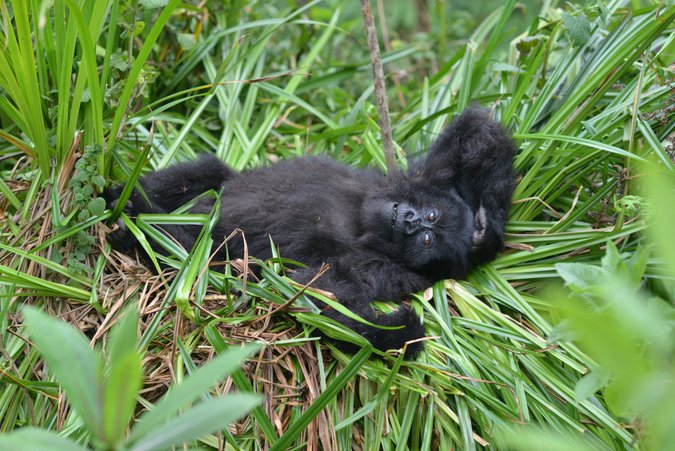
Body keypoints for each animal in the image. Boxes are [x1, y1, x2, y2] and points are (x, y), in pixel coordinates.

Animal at [104, 107, 516, 358]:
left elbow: (318, 294)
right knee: (212, 171)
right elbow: (477, 133)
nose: (412, 222)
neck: (364, 223)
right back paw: (122, 199)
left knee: (193, 246)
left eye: (428, 240)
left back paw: (135, 232)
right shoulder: (423, 177)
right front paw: (486, 221)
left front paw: (400, 331)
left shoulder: (381, 270)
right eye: (430, 215)